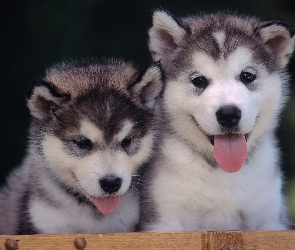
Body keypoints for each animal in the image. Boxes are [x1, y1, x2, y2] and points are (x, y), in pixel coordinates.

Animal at [139, 10, 295, 232]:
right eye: (199, 80)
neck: (223, 171)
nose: (229, 114)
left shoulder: (270, 219)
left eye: (247, 76)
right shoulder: (164, 219)